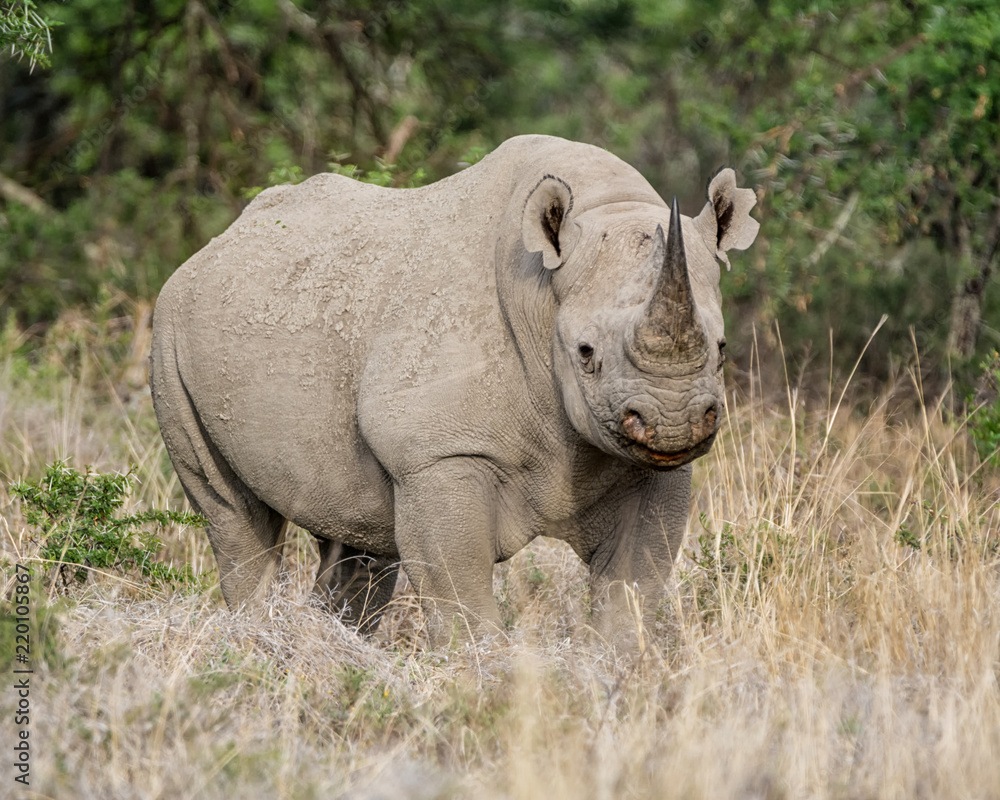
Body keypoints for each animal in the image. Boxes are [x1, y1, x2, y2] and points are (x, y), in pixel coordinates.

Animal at [149, 134, 758, 648]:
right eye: (586, 353)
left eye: (722, 347)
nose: (673, 423)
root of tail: (214, 245)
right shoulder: (437, 451)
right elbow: (459, 591)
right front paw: (482, 682)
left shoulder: (654, 468)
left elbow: (634, 588)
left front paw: (620, 671)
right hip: (169, 329)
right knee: (234, 518)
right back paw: (256, 635)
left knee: (357, 538)